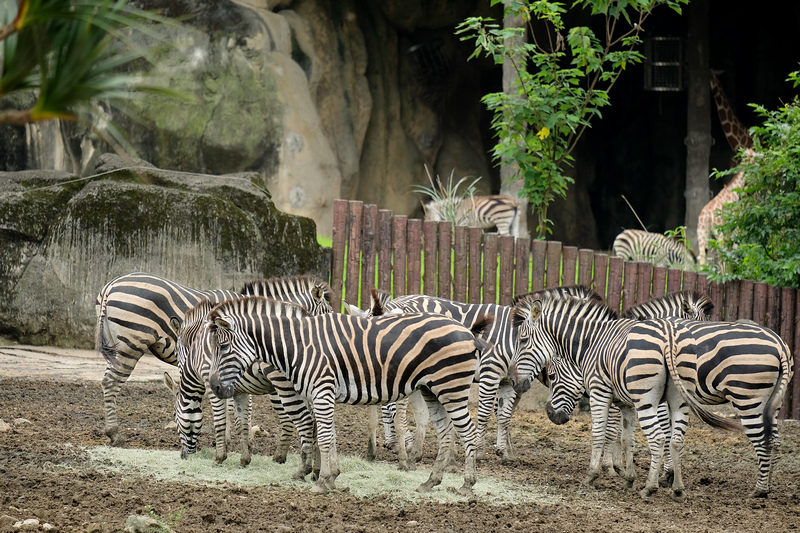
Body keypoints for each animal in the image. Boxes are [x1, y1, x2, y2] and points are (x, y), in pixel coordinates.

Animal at [95, 270, 332, 444]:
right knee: (111, 383)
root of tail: (110, 286)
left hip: (117, 346)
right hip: (131, 345)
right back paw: (114, 433)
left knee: (107, 381)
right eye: (327, 313)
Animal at [162, 300, 318, 478]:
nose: (183, 456)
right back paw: (315, 469)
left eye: (174, 416)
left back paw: (284, 459)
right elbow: (241, 421)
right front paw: (244, 454)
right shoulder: (237, 389)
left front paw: (221, 455)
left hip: (281, 383)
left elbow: (221, 420)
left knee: (295, 419)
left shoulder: (212, 385)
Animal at [205, 294, 494, 492]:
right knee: (445, 433)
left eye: (223, 346)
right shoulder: (319, 394)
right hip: (432, 390)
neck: (298, 344)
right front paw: (331, 477)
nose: (215, 387)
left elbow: (322, 436)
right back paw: (430, 482)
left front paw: (321, 481)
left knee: (467, 432)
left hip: (451, 387)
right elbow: (327, 435)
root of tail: (466, 330)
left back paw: (467, 484)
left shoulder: (322, 391)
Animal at [510, 290, 740, 498]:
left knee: (659, 438)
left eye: (523, 340)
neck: (590, 342)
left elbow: (603, 432)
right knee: (676, 439)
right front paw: (627, 475)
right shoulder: (626, 402)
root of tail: (668, 339)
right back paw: (677, 489)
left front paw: (596, 474)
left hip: (647, 399)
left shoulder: (602, 393)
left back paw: (650, 487)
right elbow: (626, 437)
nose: (551, 414)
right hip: (676, 400)